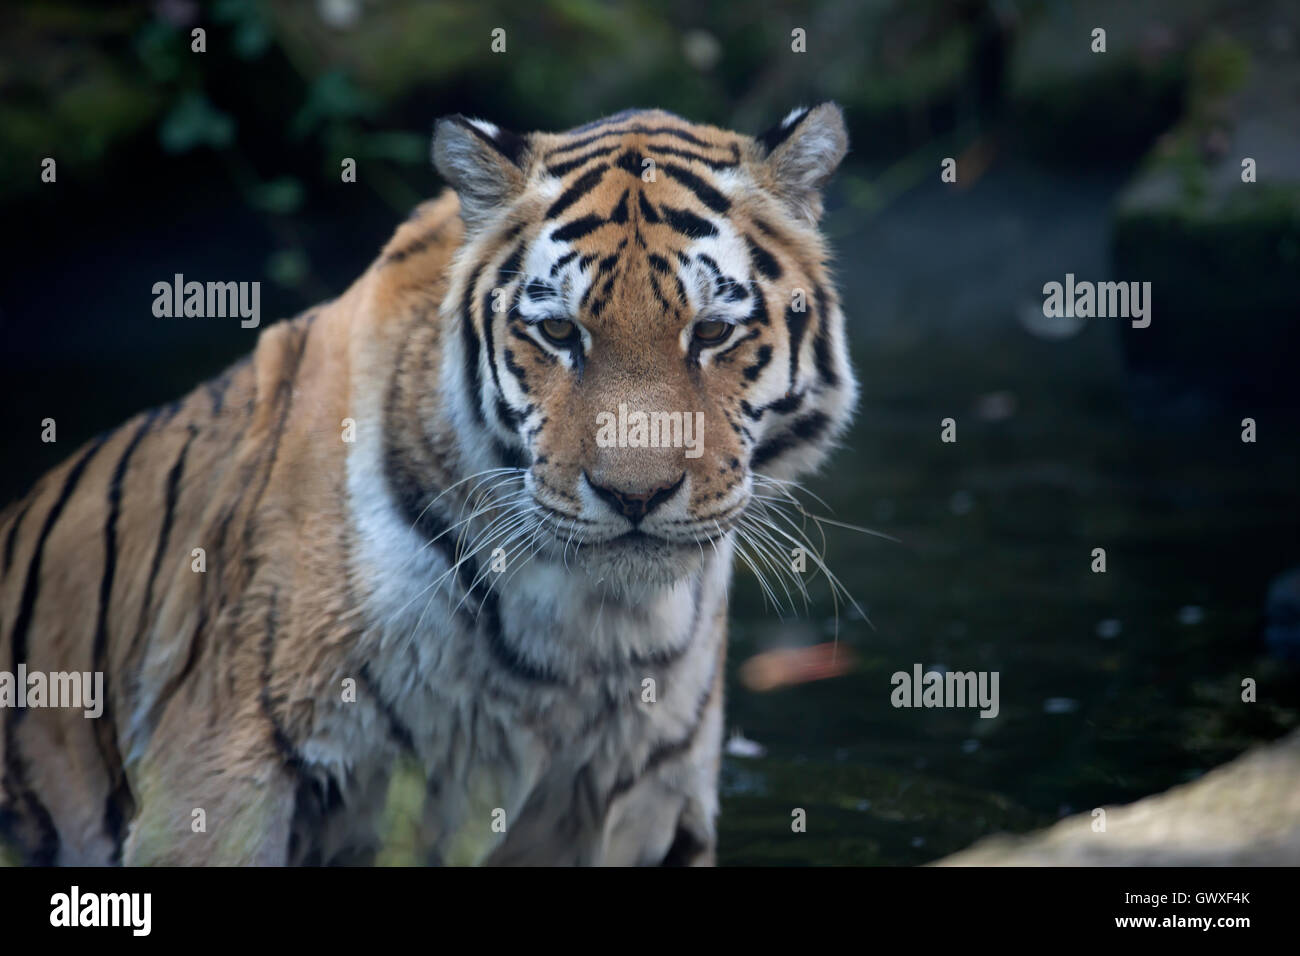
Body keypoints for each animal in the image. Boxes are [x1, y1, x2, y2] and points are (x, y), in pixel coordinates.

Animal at [0, 103, 856, 866]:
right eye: (559, 331)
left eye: (711, 332)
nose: (633, 496)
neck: (588, 635)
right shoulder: (224, 770)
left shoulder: (648, 806)